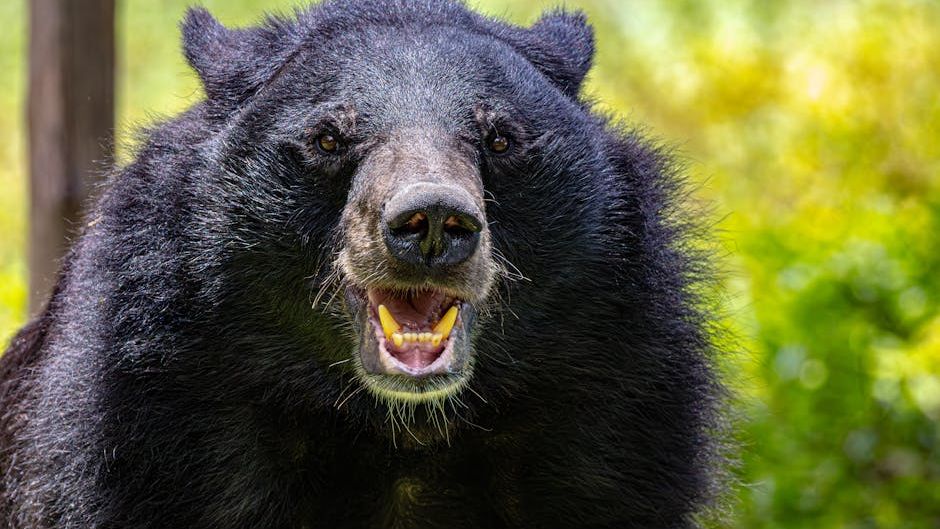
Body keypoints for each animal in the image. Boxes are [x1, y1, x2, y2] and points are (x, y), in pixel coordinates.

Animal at [0, 1, 726, 527]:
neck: (398, 430)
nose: (431, 222)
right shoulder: (144, 429)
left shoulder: (611, 421)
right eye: (327, 137)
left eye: (499, 138)